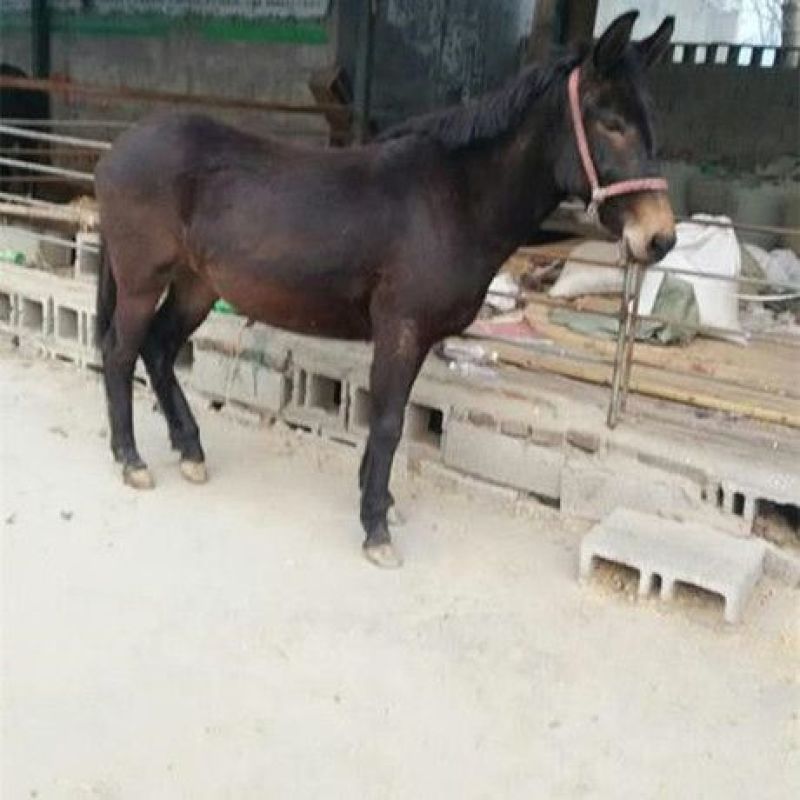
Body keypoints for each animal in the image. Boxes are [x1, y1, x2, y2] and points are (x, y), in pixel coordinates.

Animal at [95, 12, 676, 568]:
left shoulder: (412, 336)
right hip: (142, 280)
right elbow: (390, 422)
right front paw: (375, 526)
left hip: (196, 284)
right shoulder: (402, 326)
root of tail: (119, 149)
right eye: (611, 123)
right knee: (121, 353)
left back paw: (189, 450)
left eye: (652, 125)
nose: (661, 238)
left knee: (159, 349)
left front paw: (380, 502)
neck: (455, 200)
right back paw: (130, 459)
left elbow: (386, 418)